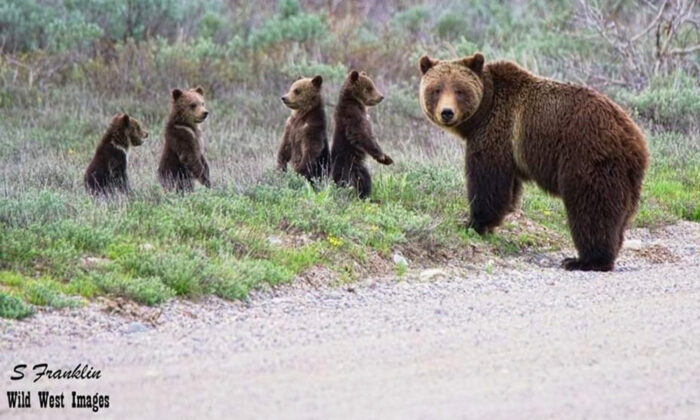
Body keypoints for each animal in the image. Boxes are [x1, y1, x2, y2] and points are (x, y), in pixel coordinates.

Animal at [330, 70, 392, 199]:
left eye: (372, 85)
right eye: (370, 88)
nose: (381, 96)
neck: (356, 103)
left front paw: (387, 159)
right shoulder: (352, 117)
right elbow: (362, 135)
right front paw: (381, 156)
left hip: (359, 168)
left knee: (365, 180)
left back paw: (365, 195)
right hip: (346, 165)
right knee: (345, 181)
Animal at [418, 52, 648, 272]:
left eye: (459, 90)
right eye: (436, 90)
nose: (447, 112)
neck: (484, 110)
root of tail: (634, 138)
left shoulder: (496, 132)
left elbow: (487, 182)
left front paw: (473, 223)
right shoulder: (508, 150)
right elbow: (508, 190)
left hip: (588, 156)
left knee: (592, 207)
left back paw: (585, 261)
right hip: (627, 177)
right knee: (619, 215)